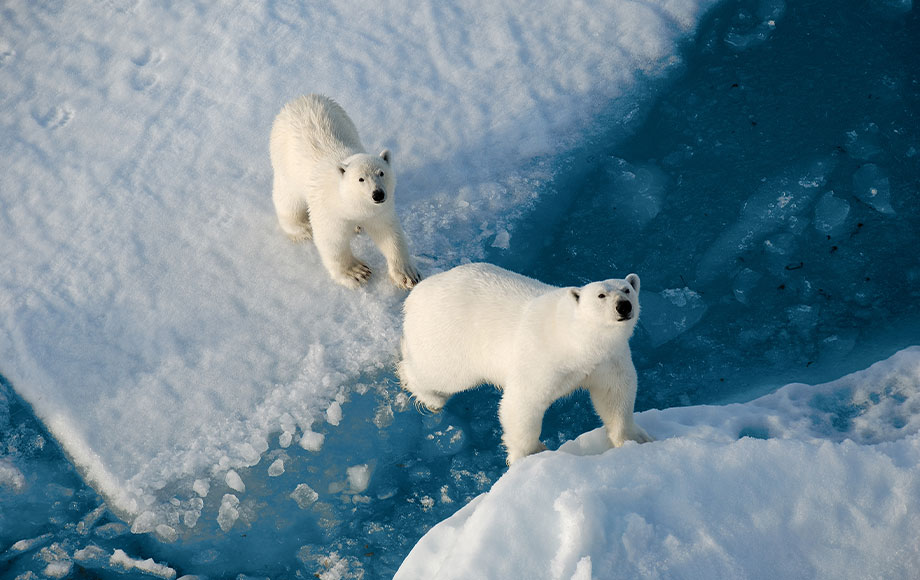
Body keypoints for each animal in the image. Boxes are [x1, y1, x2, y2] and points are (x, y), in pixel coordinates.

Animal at [268, 94, 422, 290]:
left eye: (381, 173)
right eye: (360, 179)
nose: (378, 194)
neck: (348, 202)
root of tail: (300, 98)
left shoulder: (378, 211)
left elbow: (388, 233)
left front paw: (407, 275)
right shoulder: (328, 208)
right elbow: (332, 239)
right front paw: (357, 273)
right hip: (285, 163)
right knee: (288, 199)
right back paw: (302, 228)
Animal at [398, 266, 652, 464]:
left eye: (627, 289)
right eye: (601, 295)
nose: (624, 306)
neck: (576, 339)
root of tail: (416, 295)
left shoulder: (608, 360)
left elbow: (615, 394)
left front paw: (634, 439)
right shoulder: (543, 357)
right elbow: (522, 403)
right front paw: (530, 454)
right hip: (450, 337)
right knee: (441, 374)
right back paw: (429, 397)